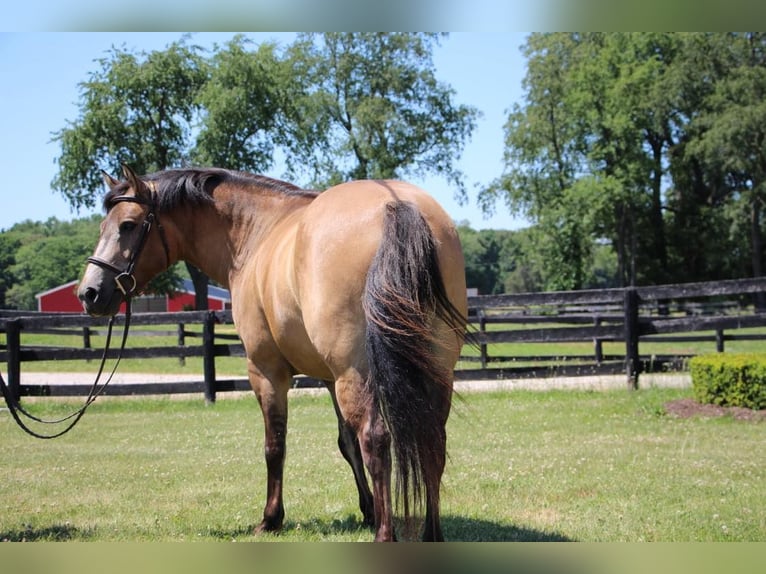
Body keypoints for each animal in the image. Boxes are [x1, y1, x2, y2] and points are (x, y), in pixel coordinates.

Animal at [78, 165, 468, 544]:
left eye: (128, 225)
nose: (89, 293)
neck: (258, 233)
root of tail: (394, 205)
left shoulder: (267, 372)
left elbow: (275, 445)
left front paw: (271, 518)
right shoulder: (328, 378)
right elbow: (346, 443)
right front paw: (367, 510)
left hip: (356, 373)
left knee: (376, 440)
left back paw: (385, 536)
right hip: (434, 371)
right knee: (433, 441)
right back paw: (432, 534)